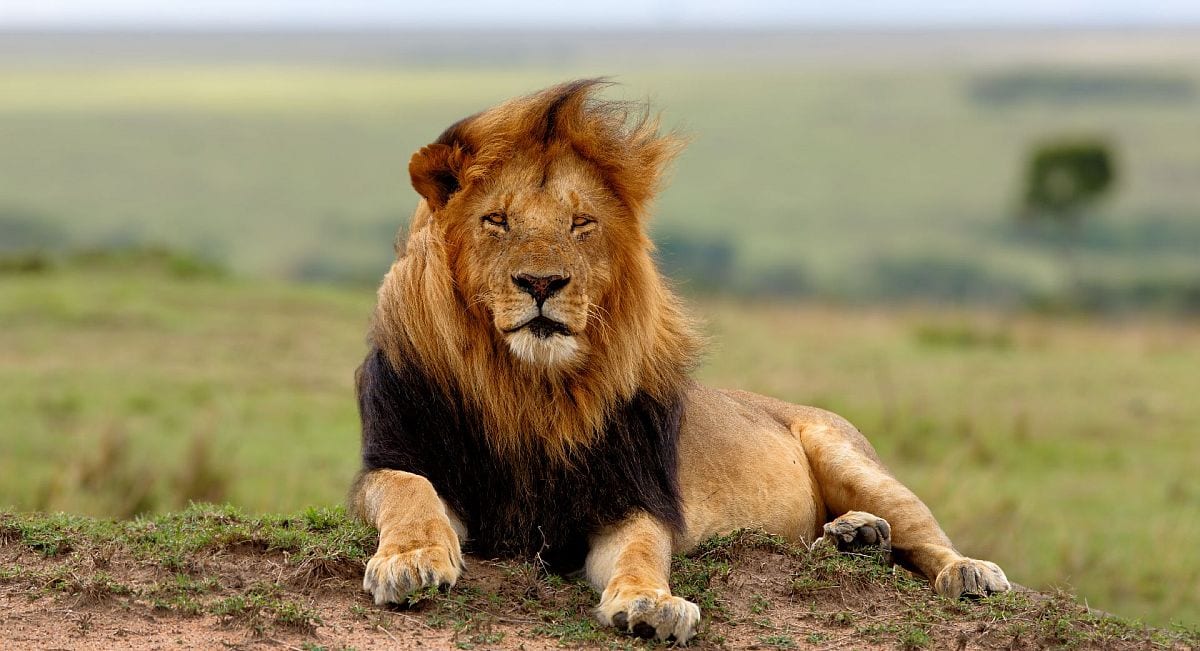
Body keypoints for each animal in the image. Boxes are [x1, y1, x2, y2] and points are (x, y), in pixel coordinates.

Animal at [351, 79, 1010, 643]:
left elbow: (642, 551)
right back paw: (856, 537)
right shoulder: (393, 461)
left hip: (847, 451)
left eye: (581, 223)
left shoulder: (632, 497)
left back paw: (963, 569)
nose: (542, 282)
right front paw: (411, 559)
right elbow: (409, 489)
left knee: (926, 536)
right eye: (496, 220)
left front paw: (651, 604)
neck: (529, 387)